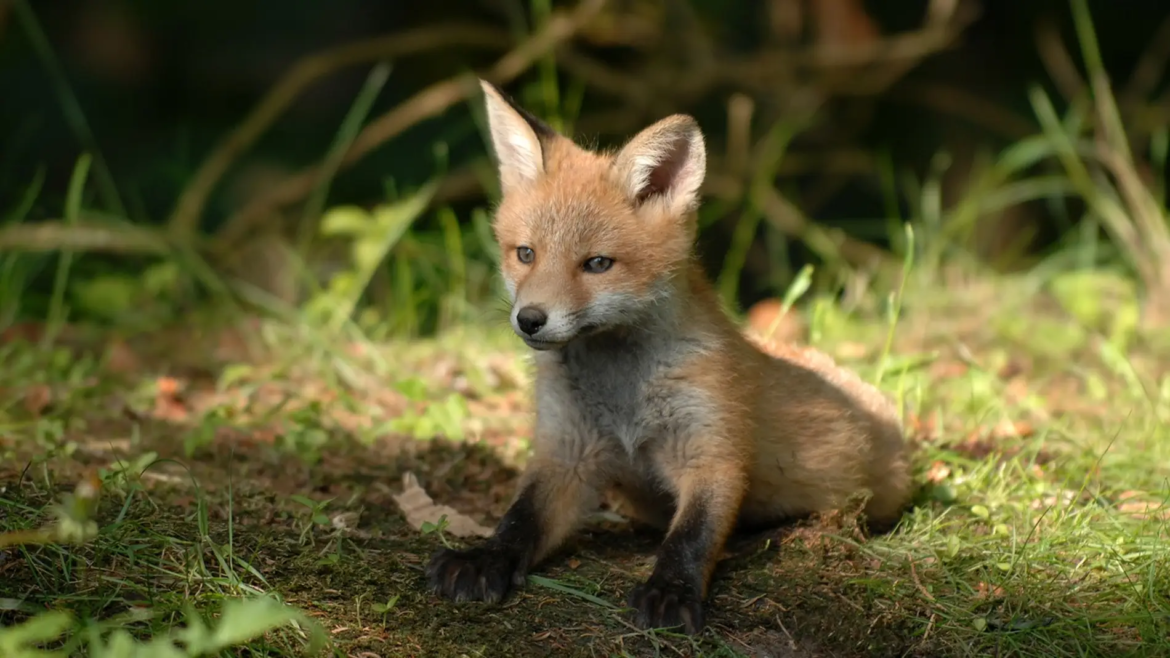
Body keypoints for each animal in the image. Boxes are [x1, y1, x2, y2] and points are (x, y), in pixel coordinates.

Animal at [430, 79, 912, 632]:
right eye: (525, 254)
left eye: (597, 264)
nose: (529, 319)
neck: (622, 392)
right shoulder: (566, 451)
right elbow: (519, 519)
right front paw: (484, 558)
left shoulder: (711, 448)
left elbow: (692, 535)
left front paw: (671, 591)